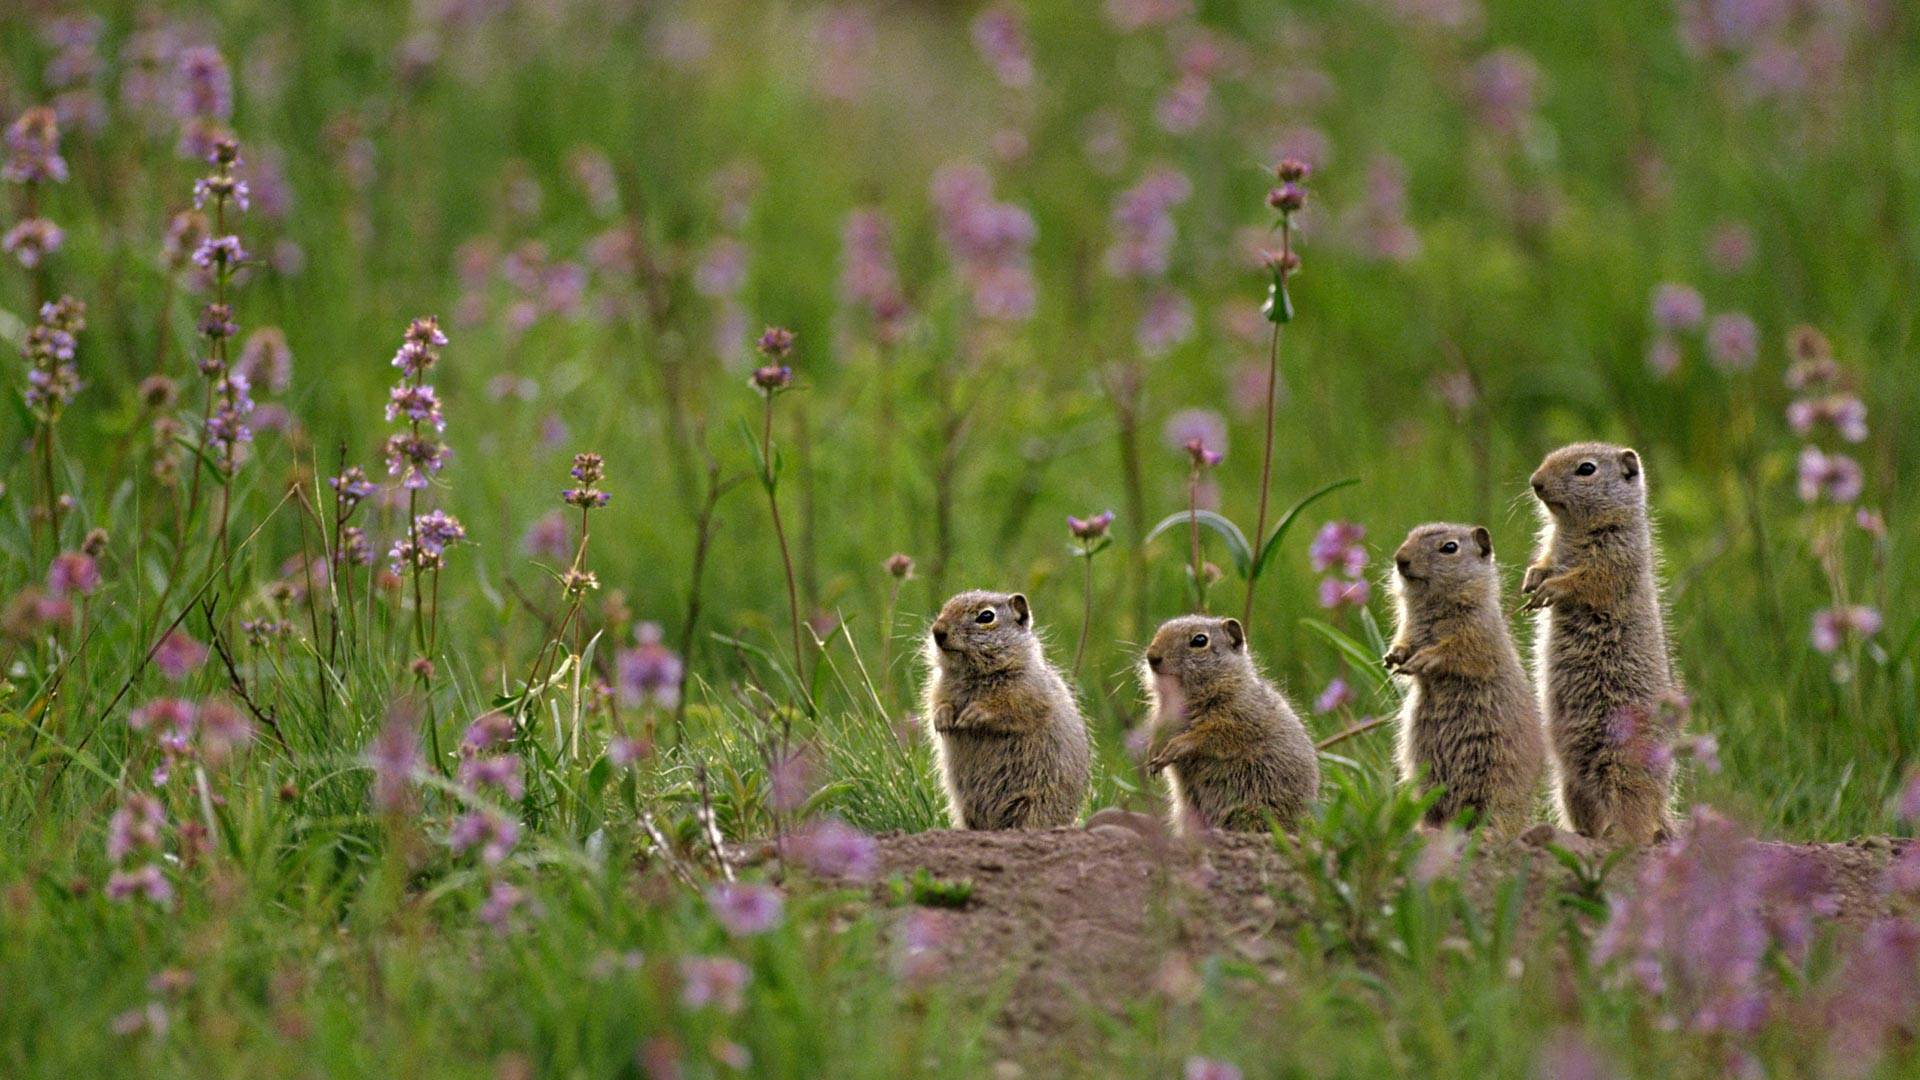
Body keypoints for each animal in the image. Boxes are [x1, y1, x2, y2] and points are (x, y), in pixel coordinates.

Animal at [917, 588, 1090, 822]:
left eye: (986, 616)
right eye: (945, 607)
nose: (937, 631)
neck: (976, 675)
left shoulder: (1026, 692)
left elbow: (1008, 709)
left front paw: (972, 715)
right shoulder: (938, 688)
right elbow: (937, 704)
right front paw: (943, 719)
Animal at [1136, 614, 1320, 834]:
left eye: (1200, 640)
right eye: (1160, 630)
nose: (1152, 656)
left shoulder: (1237, 718)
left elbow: (1208, 736)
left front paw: (1176, 747)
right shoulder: (1163, 716)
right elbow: (1160, 732)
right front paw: (1152, 755)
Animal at [1382, 522, 1543, 834]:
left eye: (1449, 547)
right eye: (1409, 536)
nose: (1400, 559)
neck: (1433, 606)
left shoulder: (1477, 631)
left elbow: (1456, 651)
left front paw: (1423, 659)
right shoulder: (1409, 627)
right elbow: (1404, 640)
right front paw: (1393, 657)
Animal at [1528, 441, 1681, 845]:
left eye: (1586, 469)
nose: (1535, 482)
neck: (1572, 528)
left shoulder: (1616, 553)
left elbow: (1589, 578)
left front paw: (1551, 588)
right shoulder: (1553, 545)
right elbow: (1545, 560)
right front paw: (1532, 580)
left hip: (1624, 768)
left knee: (1637, 821)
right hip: (1570, 786)